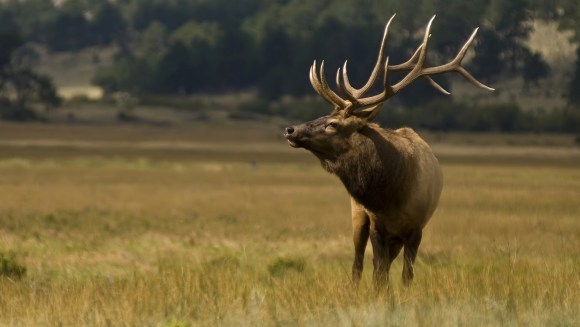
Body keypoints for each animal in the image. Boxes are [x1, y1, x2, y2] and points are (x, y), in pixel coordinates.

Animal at [284, 14, 492, 290]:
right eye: (325, 115)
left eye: (333, 124)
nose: (290, 129)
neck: (390, 196)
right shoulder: (376, 225)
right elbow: (378, 273)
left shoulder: (416, 228)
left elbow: (406, 276)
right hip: (358, 216)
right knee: (358, 263)